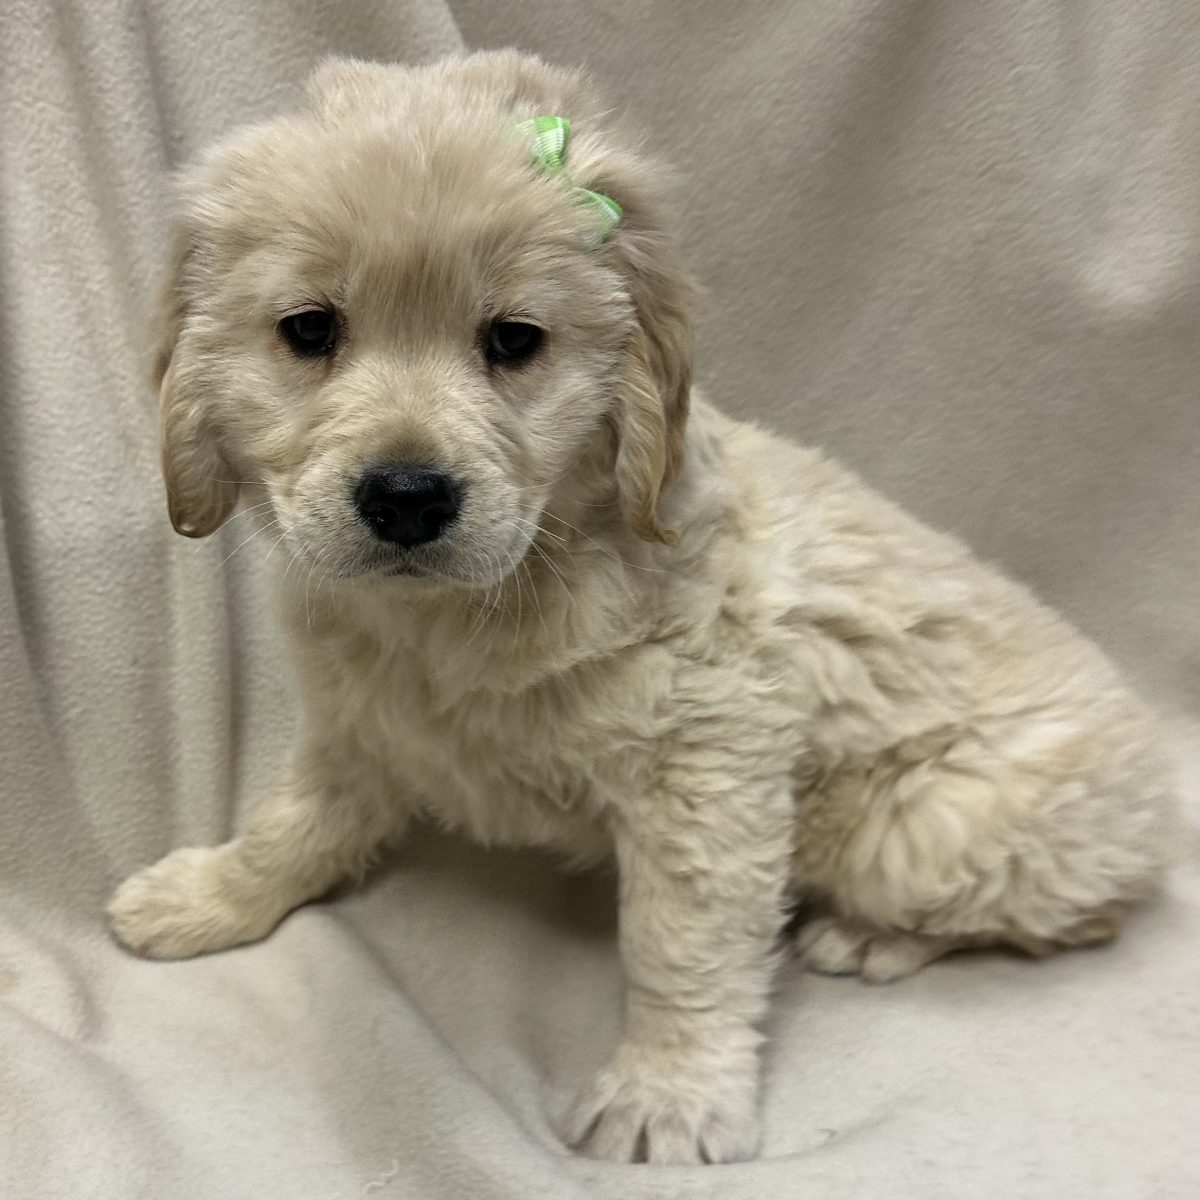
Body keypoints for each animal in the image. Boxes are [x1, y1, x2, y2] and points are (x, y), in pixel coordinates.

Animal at [108, 51, 1179, 1165]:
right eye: (310, 330)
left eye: (514, 340)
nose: (407, 495)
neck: (474, 606)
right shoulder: (361, 726)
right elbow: (290, 828)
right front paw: (211, 895)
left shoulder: (706, 764)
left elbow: (682, 942)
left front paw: (669, 1093)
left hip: (932, 825)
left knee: (1078, 918)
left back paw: (872, 936)